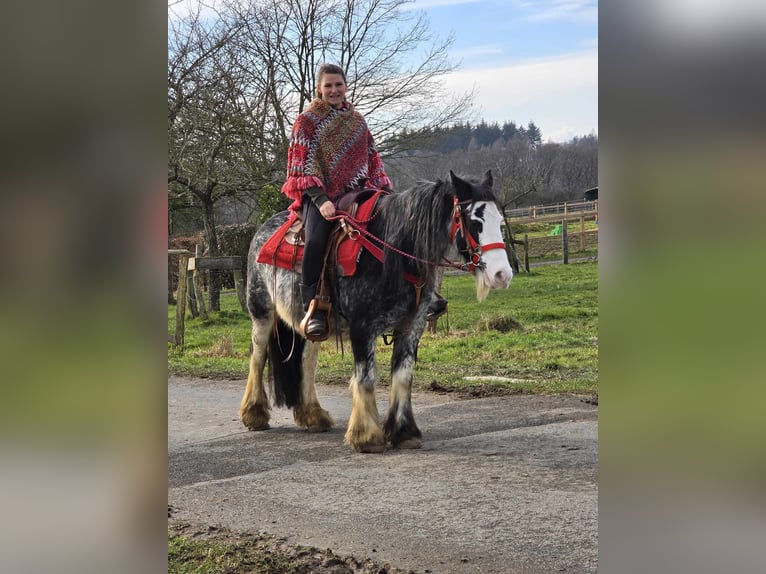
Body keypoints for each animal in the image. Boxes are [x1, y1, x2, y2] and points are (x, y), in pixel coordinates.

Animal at [240, 171, 516, 454]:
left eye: (499, 220)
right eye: (475, 221)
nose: (502, 275)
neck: (389, 254)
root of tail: (262, 231)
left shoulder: (411, 326)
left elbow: (403, 377)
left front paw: (404, 433)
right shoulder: (362, 328)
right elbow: (365, 377)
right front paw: (367, 436)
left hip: (309, 323)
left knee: (306, 361)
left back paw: (313, 415)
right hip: (261, 312)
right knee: (257, 356)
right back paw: (254, 414)